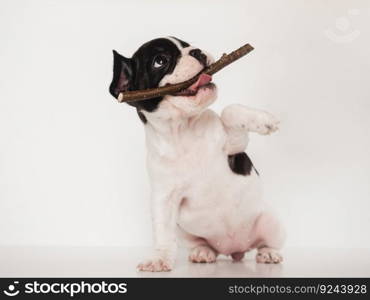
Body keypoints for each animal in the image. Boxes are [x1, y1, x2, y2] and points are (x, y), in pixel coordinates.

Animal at [108, 37, 284, 272]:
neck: (183, 129)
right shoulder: (163, 198)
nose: (197, 51)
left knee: (267, 242)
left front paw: (264, 120)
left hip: (271, 221)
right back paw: (203, 252)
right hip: (186, 234)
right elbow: (163, 231)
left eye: (187, 44)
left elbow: (229, 110)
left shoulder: (235, 145)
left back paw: (269, 253)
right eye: (160, 61)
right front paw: (160, 258)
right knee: (203, 244)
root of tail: (234, 250)